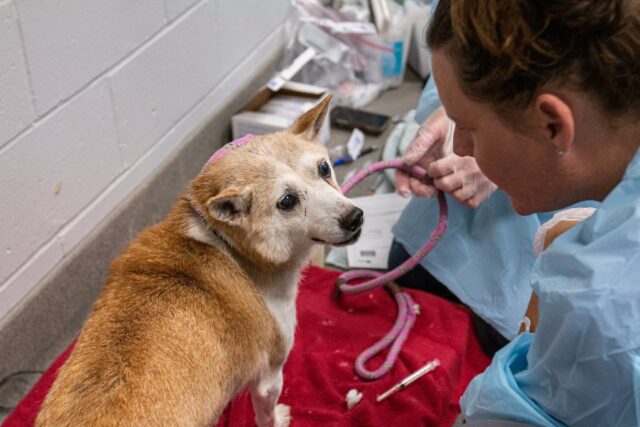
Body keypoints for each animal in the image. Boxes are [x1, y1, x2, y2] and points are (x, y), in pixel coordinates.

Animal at [37, 98, 362, 427]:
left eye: (324, 168)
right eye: (286, 202)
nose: (355, 217)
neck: (229, 244)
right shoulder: (269, 377)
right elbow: (266, 415)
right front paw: (279, 419)